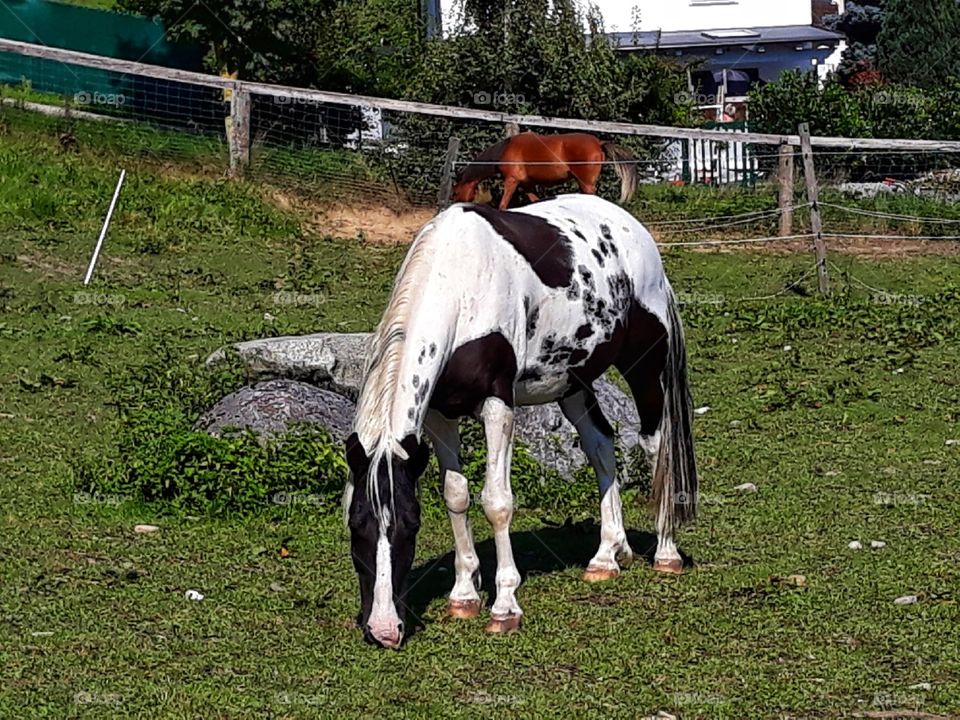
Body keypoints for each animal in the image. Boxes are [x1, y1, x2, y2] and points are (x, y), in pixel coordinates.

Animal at [344, 191, 696, 648]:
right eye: (356, 527)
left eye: (410, 526)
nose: (384, 630)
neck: (459, 281)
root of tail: (635, 230)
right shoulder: (439, 413)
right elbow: (456, 495)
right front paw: (464, 595)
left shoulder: (498, 406)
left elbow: (497, 502)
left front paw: (504, 606)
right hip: (572, 382)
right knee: (601, 445)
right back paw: (607, 555)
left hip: (644, 367)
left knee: (656, 445)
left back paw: (666, 551)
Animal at [454, 131, 640, 210]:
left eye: (455, 191)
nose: (454, 203)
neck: (504, 150)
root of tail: (598, 143)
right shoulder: (527, 185)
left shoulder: (511, 181)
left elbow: (502, 205)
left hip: (586, 184)